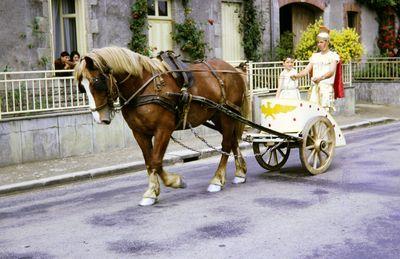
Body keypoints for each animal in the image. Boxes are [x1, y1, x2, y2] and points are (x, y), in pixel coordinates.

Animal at [74, 46, 248, 205]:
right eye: (82, 87)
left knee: (226, 144)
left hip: (227, 115)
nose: (99, 118)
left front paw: (174, 182)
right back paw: (240, 172)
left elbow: (156, 161)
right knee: (232, 140)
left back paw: (217, 180)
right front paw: (151, 191)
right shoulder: (139, 132)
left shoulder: (163, 129)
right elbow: (149, 162)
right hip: (218, 115)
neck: (143, 86)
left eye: (97, 83)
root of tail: (233, 69)